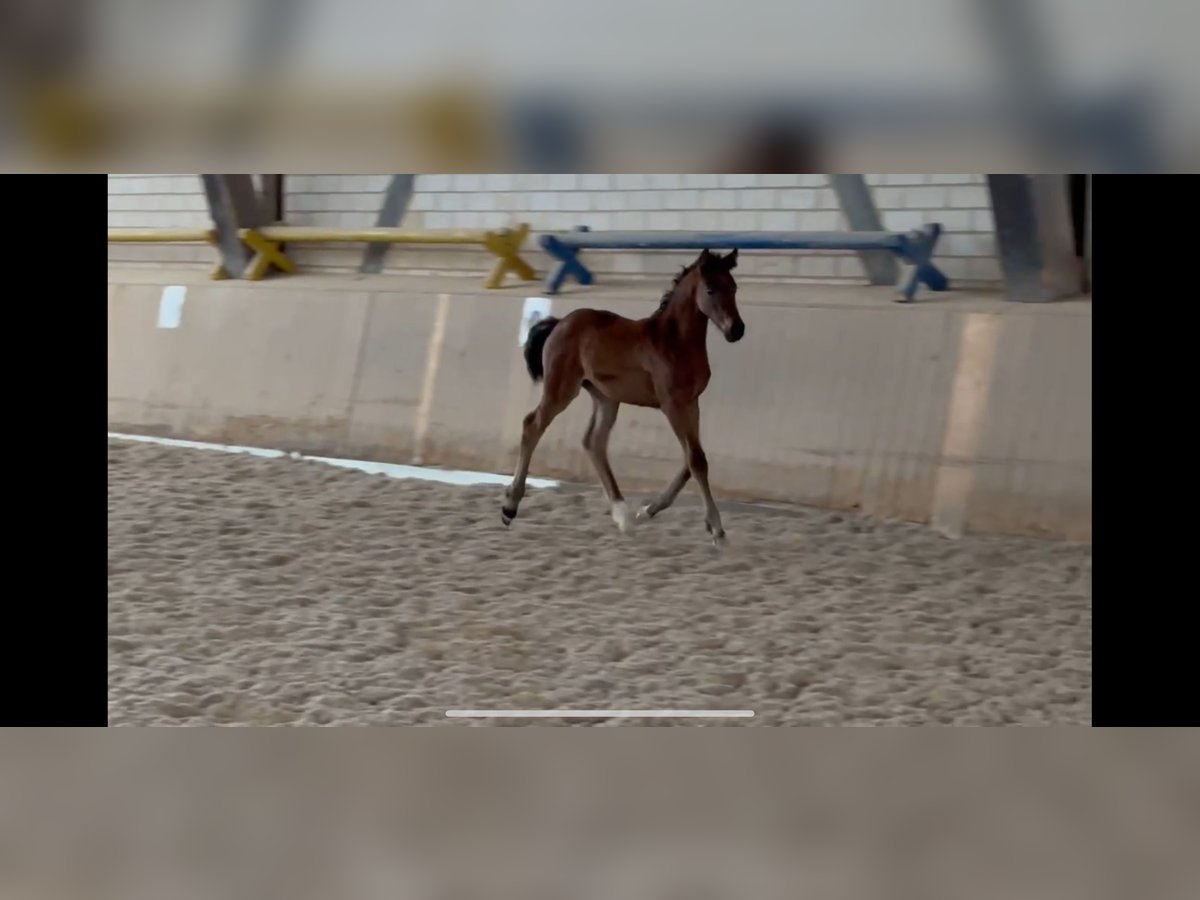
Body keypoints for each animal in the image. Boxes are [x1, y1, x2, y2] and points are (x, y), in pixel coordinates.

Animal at [496, 248, 739, 542]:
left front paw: (647, 511)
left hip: (605, 397)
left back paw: (623, 514)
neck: (674, 342)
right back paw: (510, 507)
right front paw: (717, 528)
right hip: (561, 389)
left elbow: (691, 460)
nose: (737, 330)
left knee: (594, 442)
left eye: (734, 287)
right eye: (711, 289)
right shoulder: (672, 404)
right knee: (533, 425)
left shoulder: (692, 403)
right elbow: (696, 460)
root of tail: (559, 323)